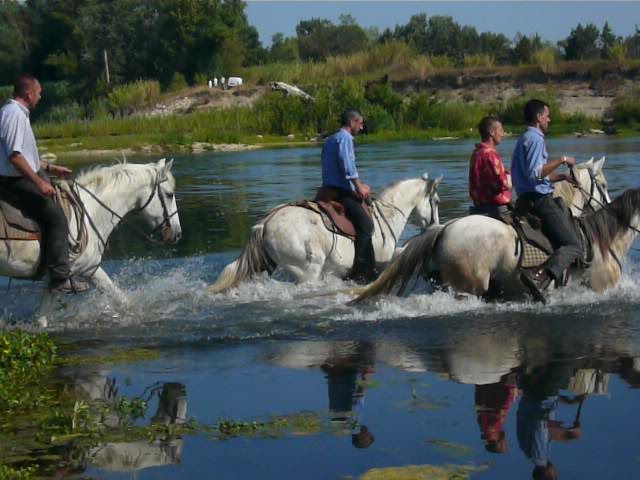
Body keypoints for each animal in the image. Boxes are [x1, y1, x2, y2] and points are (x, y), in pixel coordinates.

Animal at [0, 159, 180, 328]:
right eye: (169, 194)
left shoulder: (83, 272)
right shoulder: (79, 270)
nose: (177, 233)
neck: (90, 213)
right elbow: (121, 300)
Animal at [209, 172, 440, 292]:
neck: (385, 215)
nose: (434, 225)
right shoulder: (382, 262)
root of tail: (265, 223)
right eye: (436, 201)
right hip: (308, 271)